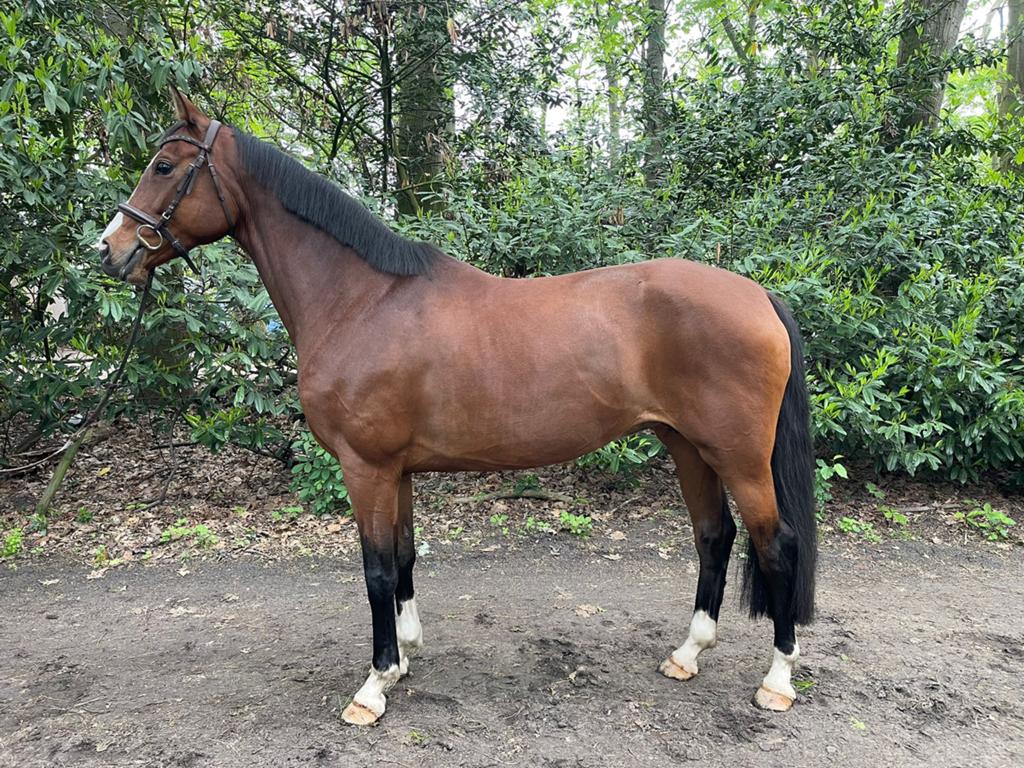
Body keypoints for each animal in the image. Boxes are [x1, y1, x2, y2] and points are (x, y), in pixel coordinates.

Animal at [97, 89, 816, 726]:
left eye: (165, 166)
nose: (111, 249)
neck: (362, 300)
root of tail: (759, 295)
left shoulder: (366, 468)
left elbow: (376, 570)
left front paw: (374, 685)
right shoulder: (397, 470)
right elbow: (404, 557)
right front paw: (406, 655)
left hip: (737, 456)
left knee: (776, 545)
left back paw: (778, 679)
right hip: (687, 445)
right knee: (714, 536)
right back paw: (687, 654)